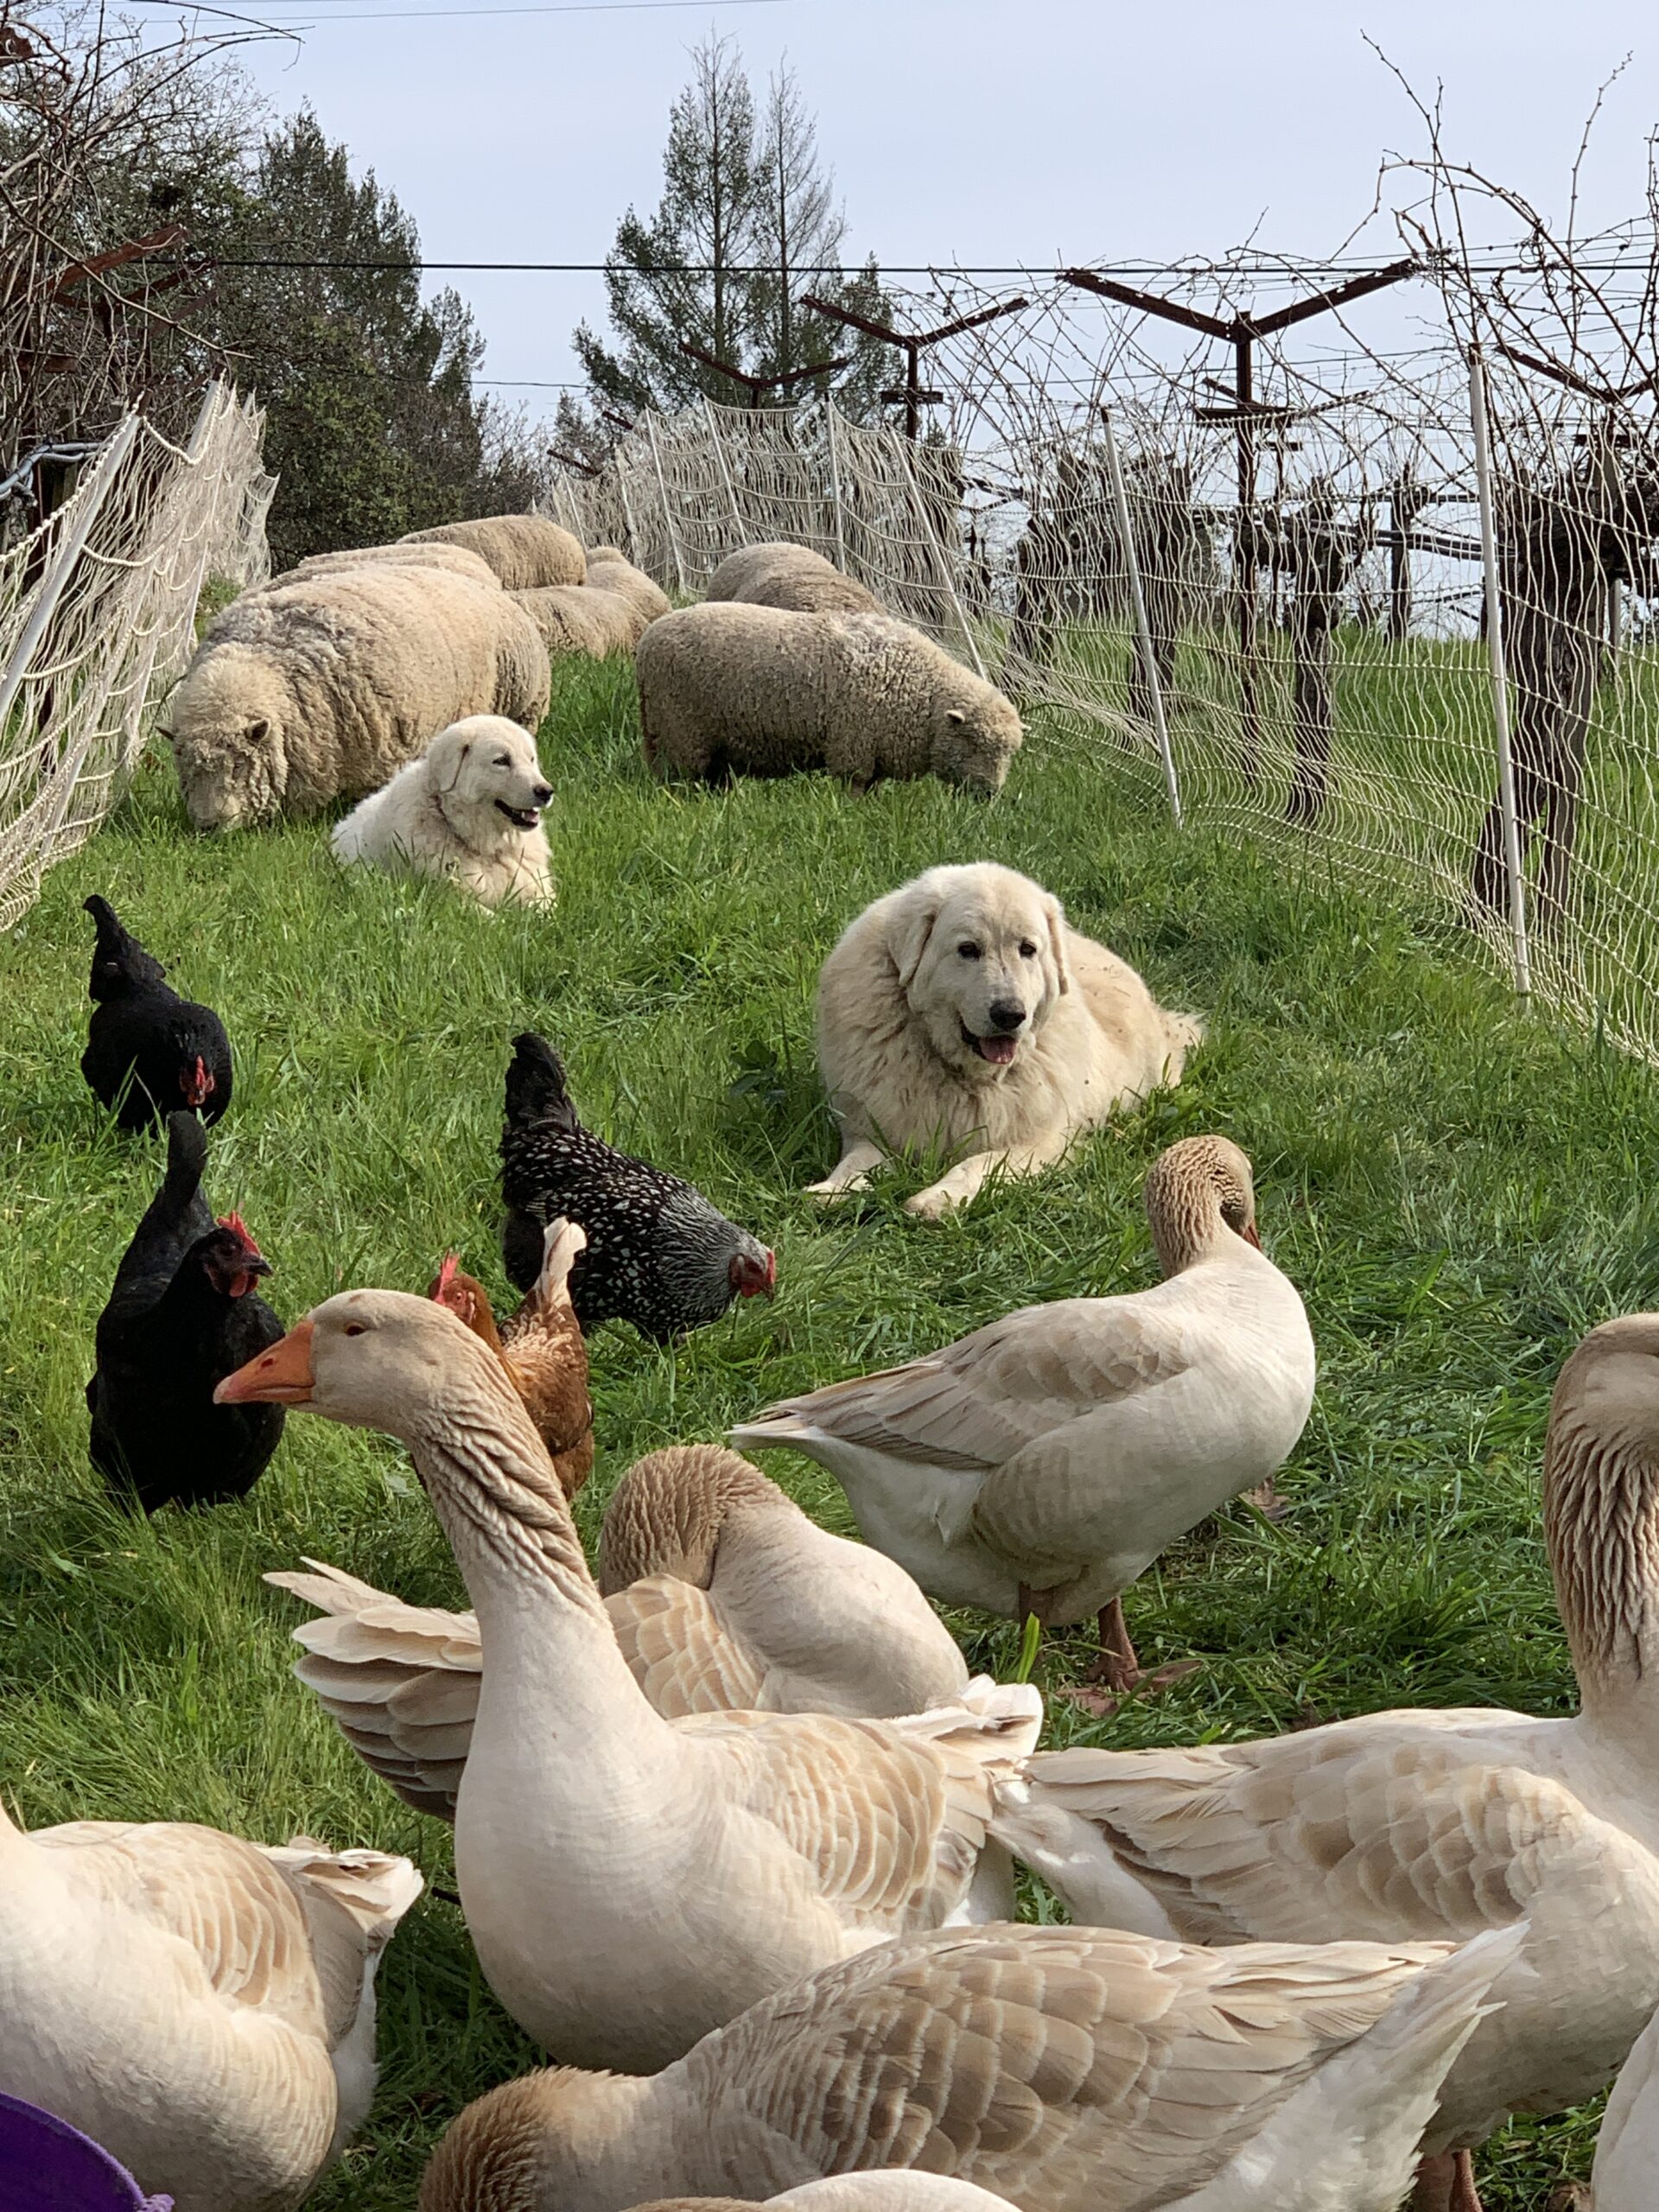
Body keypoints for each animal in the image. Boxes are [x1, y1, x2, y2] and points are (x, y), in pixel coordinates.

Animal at [641, 601, 1021, 800]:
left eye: (1008, 753)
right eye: (974, 742)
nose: (991, 794)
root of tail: (648, 638)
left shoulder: (876, 751)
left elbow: (872, 789)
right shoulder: (854, 745)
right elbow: (853, 786)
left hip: (697, 737)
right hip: (681, 730)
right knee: (680, 776)